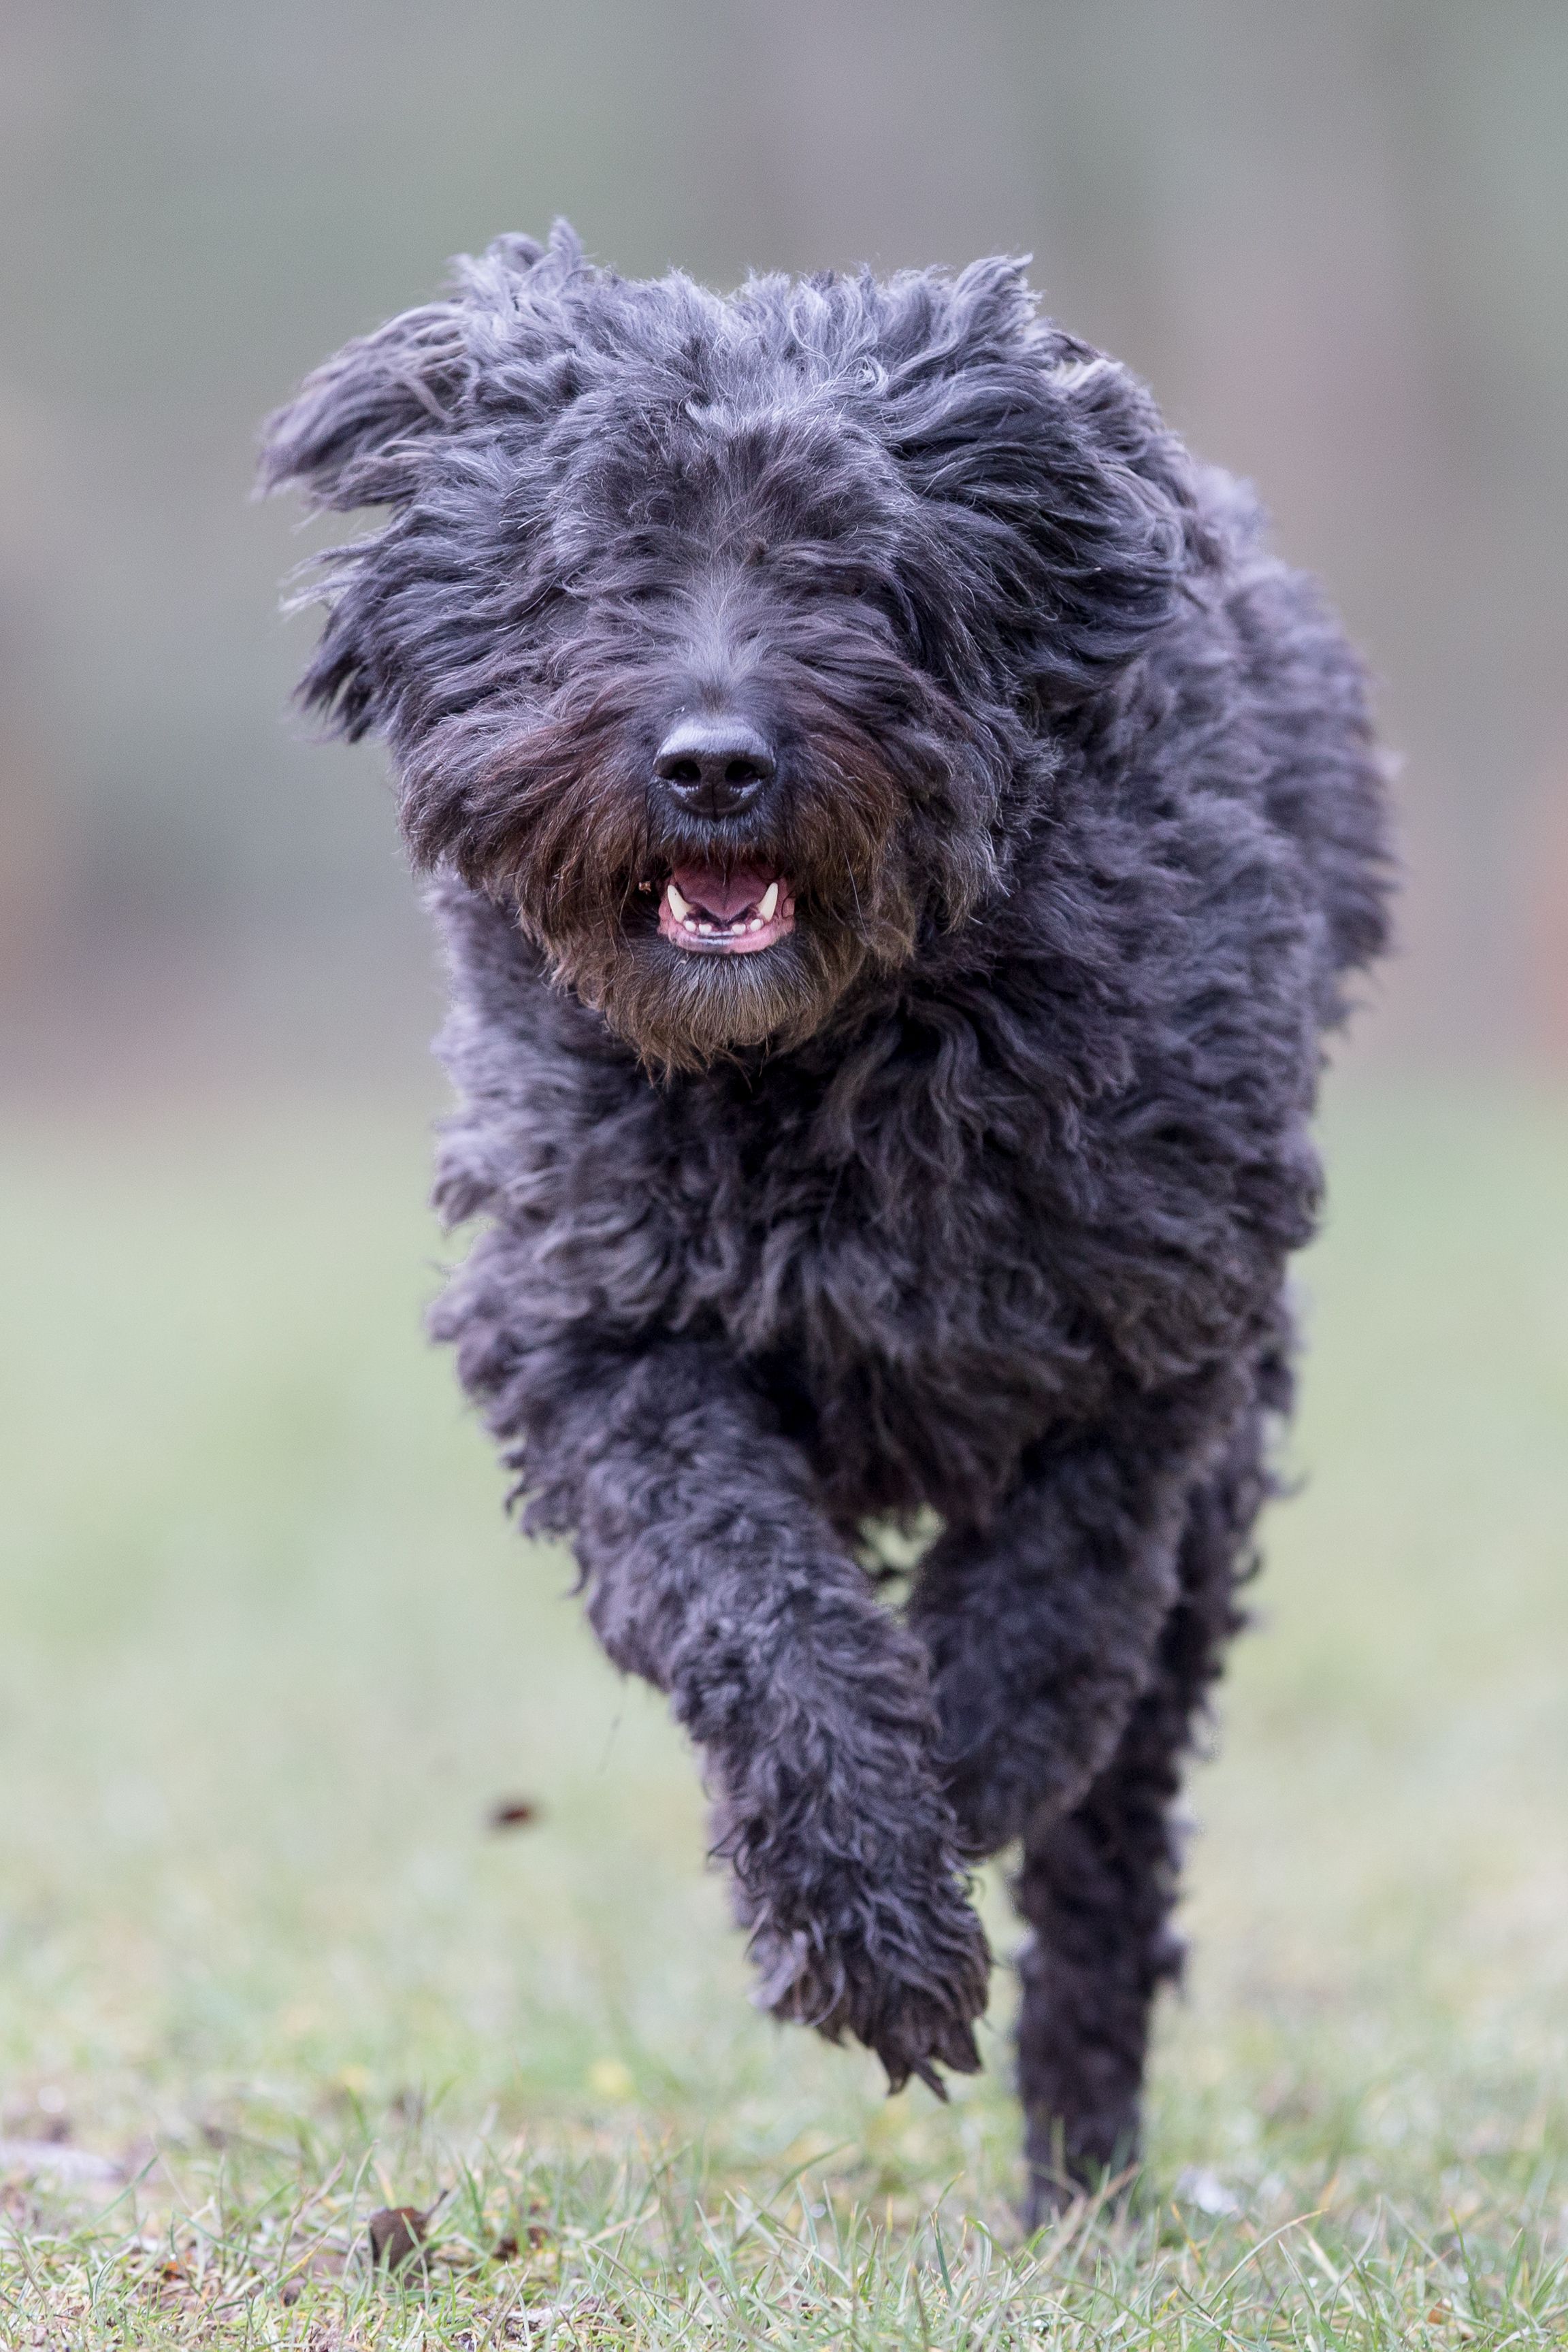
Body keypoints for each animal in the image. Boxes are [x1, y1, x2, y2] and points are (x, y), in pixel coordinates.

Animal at [261, 225, 1401, 2220]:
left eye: (854, 569)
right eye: (600, 564)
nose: (714, 762)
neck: (815, 1058)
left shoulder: (1156, 1320)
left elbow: (1056, 1599)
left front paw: (975, 1758)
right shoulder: (598, 1331)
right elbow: (758, 1607)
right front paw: (869, 1911)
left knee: (1118, 1834)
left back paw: (1082, 2182)